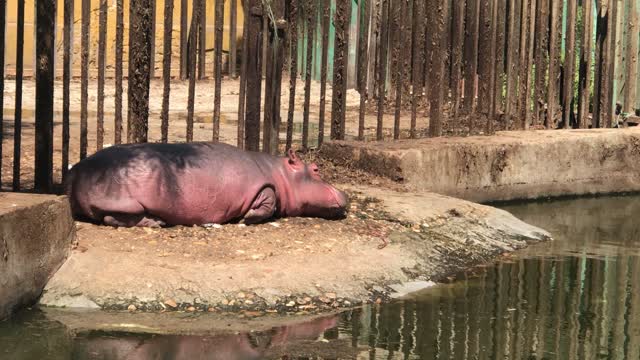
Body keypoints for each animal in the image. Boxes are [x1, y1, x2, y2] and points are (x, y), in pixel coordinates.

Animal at [65, 141, 348, 228]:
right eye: (316, 169)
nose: (346, 193)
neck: (280, 172)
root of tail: (75, 170)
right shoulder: (263, 186)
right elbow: (269, 199)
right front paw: (246, 218)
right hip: (126, 201)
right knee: (112, 217)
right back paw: (156, 222)